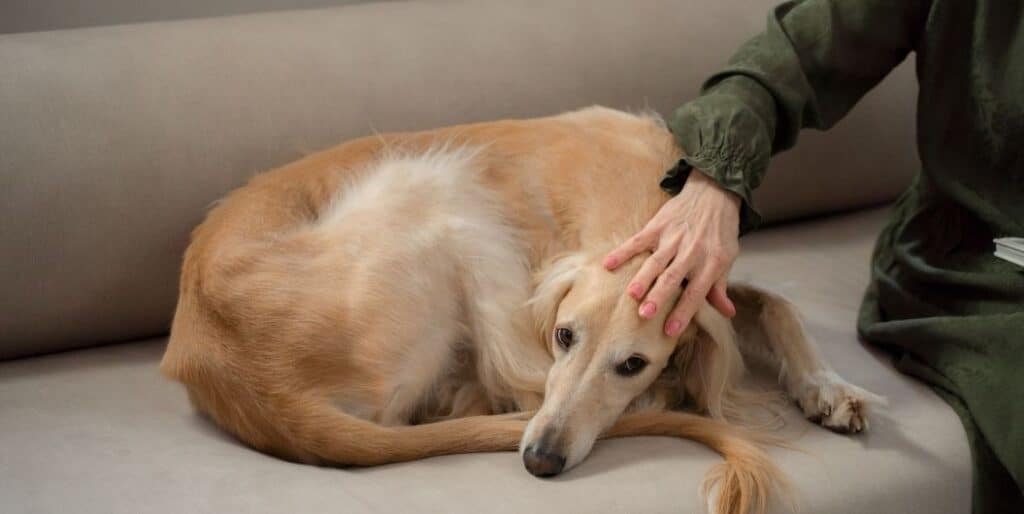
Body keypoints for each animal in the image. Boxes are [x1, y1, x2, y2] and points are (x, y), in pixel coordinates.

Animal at [159, 105, 880, 514]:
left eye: (632, 363)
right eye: (564, 335)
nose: (540, 461)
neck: (633, 201)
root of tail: (251, 381)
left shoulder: (710, 282)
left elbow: (777, 305)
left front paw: (829, 386)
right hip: (436, 184)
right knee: (500, 386)